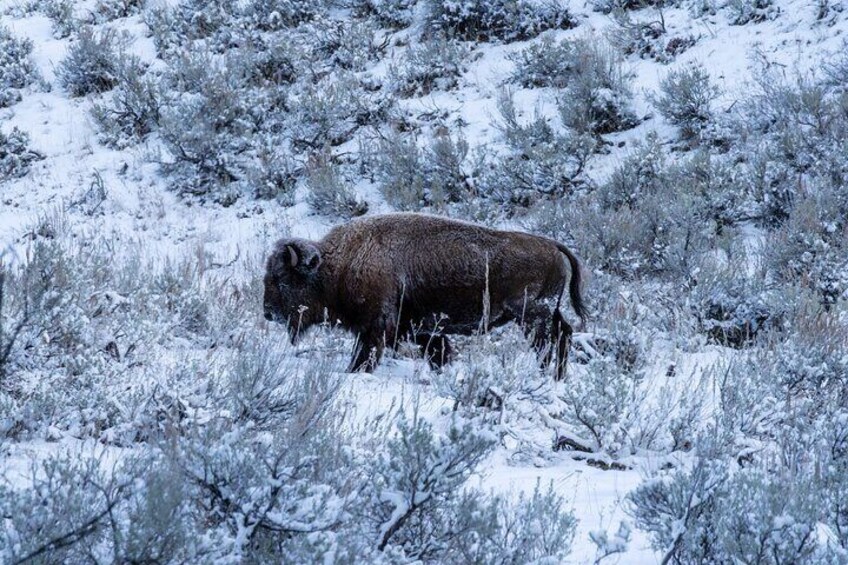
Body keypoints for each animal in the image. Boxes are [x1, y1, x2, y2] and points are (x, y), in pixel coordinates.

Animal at [262, 212, 588, 378]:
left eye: (282, 278)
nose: (268, 312)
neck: (338, 265)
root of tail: (552, 245)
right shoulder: (422, 330)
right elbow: (438, 352)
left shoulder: (375, 327)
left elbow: (365, 355)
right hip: (548, 312)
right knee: (564, 334)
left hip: (530, 316)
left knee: (547, 342)